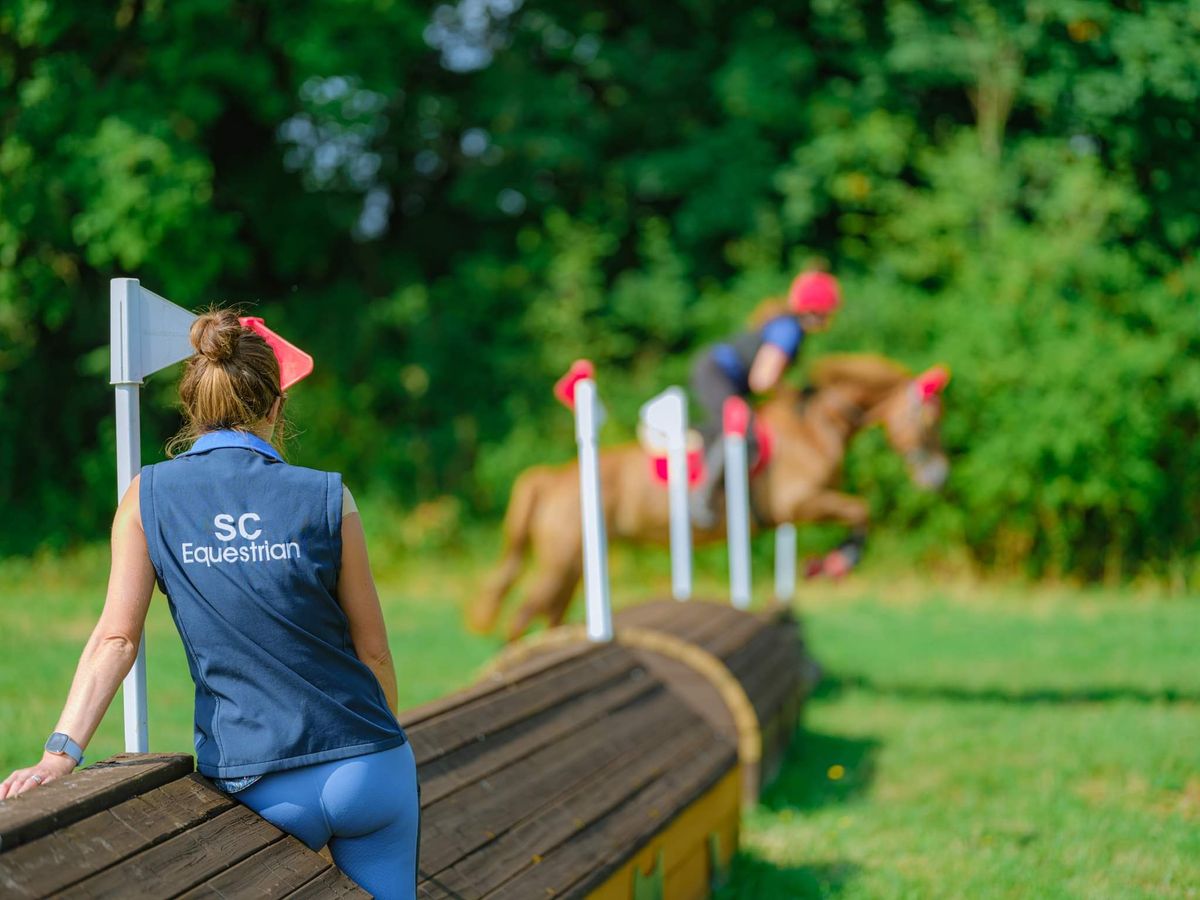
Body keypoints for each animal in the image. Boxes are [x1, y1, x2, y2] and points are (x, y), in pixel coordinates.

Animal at [468, 352, 945, 643]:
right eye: (930, 422)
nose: (939, 476)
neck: (816, 427)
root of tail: (552, 477)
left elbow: (857, 513)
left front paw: (825, 564)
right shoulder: (800, 503)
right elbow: (860, 511)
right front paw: (837, 563)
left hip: (571, 565)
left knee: (550, 615)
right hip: (560, 561)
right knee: (522, 616)